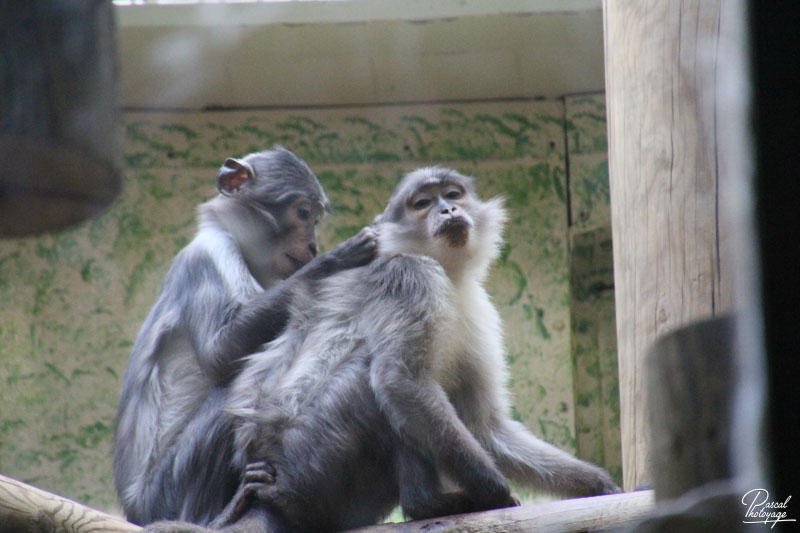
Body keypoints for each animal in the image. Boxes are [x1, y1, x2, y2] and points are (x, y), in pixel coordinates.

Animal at [112, 145, 378, 524]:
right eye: (303, 213)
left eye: (315, 220)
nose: (313, 246)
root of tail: (134, 509)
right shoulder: (210, 254)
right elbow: (220, 353)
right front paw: (336, 259)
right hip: (165, 491)